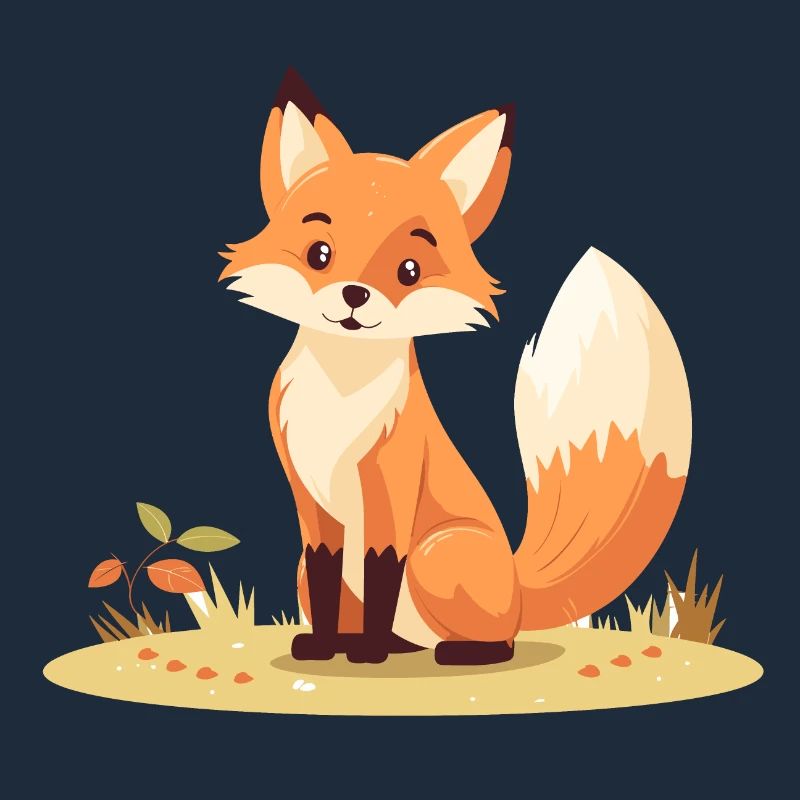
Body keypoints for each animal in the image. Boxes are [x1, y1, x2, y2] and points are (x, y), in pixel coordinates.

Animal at [219, 68, 692, 665]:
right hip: (307, 568)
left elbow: (380, 570)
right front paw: (326, 648)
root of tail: (518, 588)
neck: (342, 395)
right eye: (319, 254)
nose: (354, 295)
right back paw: (379, 643)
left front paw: (367, 653)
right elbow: (330, 579)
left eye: (409, 269)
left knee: (497, 641)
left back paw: (449, 651)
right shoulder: (312, 509)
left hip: (435, 553)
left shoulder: (391, 491)